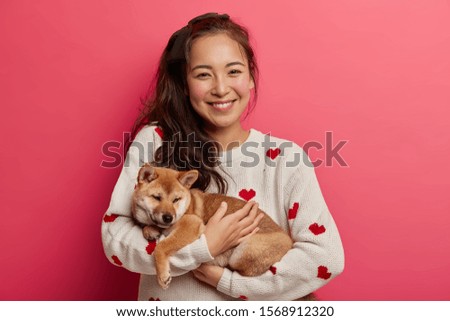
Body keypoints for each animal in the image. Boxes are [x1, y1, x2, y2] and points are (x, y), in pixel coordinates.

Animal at [131, 164, 292, 288]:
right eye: (156, 197)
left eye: (176, 199)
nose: (168, 217)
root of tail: (289, 240)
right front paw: (150, 229)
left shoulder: (191, 224)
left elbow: (161, 247)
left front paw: (162, 275)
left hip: (242, 252)